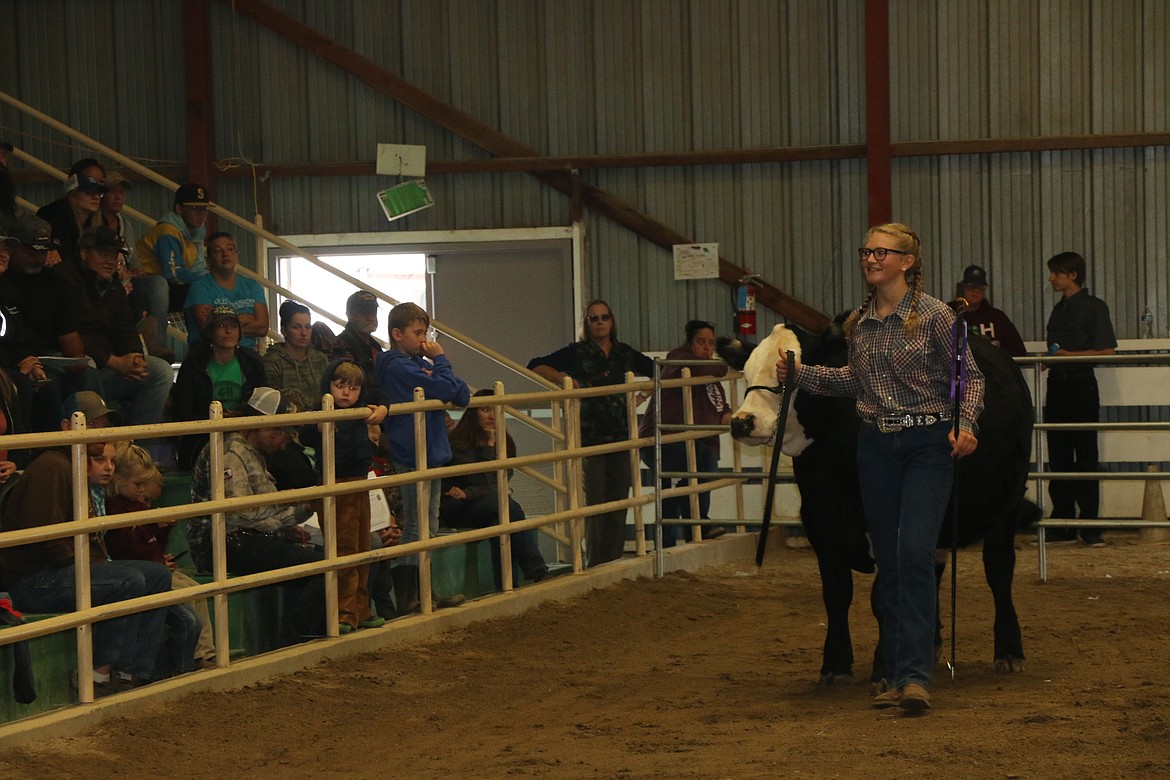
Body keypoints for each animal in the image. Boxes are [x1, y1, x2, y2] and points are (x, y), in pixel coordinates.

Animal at [720, 318, 1034, 682]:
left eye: (786, 375)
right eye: (746, 373)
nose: (742, 422)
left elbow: (884, 599)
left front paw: (885, 670)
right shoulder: (819, 526)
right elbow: (836, 595)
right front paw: (835, 665)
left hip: (1008, 501)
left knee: (999, 570)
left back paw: (1009, 652)